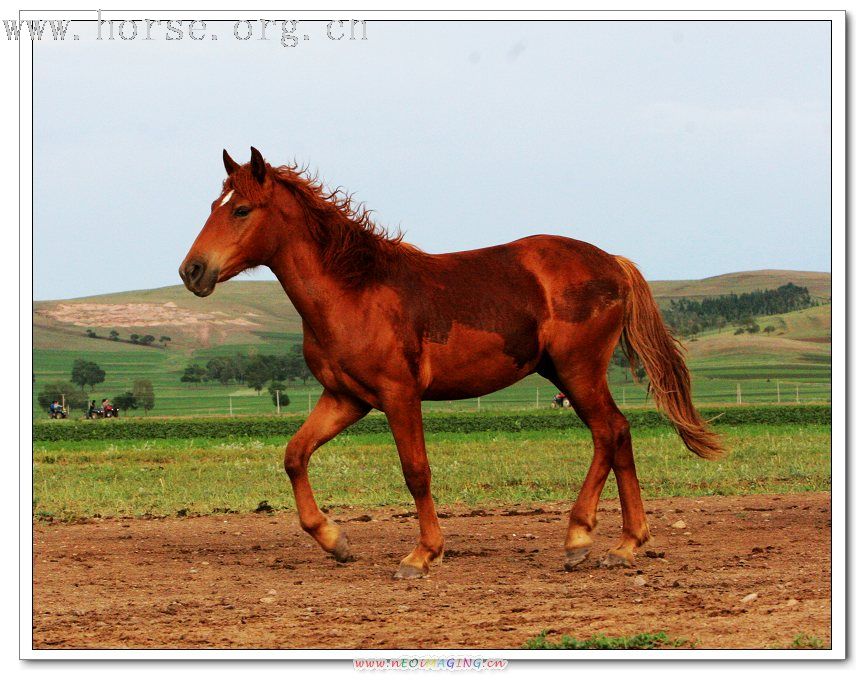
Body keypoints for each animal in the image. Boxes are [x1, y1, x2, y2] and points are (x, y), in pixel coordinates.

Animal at [181, 149, 724, 580]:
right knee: (618, 434)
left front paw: (422, 555)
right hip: (564, 373)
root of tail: (613, 263)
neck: (354, 292)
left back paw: (580, 539)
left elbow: (416, 471)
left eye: (241, 209)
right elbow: (295, 455)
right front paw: (336, 542)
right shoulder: (346, 398)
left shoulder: (399, 395)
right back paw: (626, 544)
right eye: (212, 206)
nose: (192, 271)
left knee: (609, 432)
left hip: (578, 371)